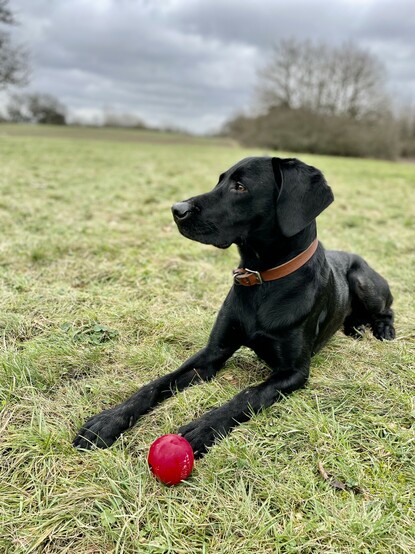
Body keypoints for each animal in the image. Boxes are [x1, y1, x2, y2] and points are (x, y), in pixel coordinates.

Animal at [74, 157, 395, 457]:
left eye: (240, 187)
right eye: (220, 180)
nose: (177, 209)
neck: (263, 281)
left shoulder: (293, 372)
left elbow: (248, 395)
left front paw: (203, 427)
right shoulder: (212, 353)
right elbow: (157, 383)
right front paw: (109, 420)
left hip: (363, 280)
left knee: (387, 310)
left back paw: (383, 330)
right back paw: (354, 328)